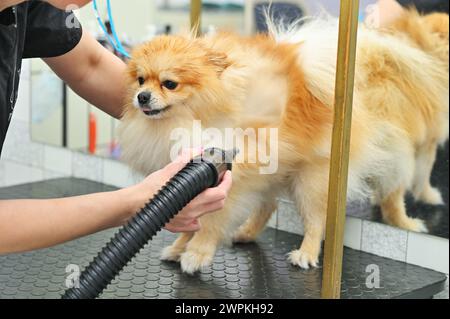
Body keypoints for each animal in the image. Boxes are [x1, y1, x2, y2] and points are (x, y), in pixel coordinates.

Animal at [118, 10, 448, 276]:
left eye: (169, 84)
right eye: (140, 80)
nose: (142, 97)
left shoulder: (230, 180)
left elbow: (212, 222)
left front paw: (197, 254)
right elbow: (192, 220)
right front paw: (179, 248)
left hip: (311, 180)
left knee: (316, 220)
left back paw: (306, 253)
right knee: (269, 206)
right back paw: (246, 233)